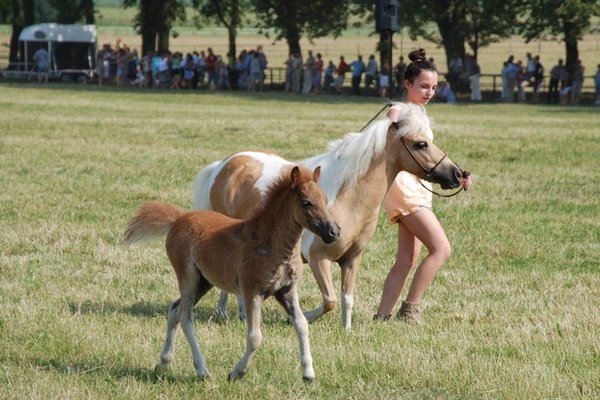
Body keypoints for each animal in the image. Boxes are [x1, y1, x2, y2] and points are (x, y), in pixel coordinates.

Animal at [124, 166, 340, 382]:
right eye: (306, 202)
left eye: (325, 199)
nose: (334, 232)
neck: (272, 244)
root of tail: (178, 218)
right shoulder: (252, 291)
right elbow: (255, 337)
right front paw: (236, 372)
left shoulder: (287, 290)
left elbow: (302, 324)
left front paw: (308, 373)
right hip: (188, 277)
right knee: (186, 317)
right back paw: (201, 369)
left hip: (204, 281)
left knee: (174, 310)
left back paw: (163, 361)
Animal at [193, 101, 464, 330]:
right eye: (421, 144)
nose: (457, 174)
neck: (347, 197)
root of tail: (223, 165)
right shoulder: (318, 259)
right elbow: (330, 301)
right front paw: (296, 318)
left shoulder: (351, 259)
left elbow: (347, 298)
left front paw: (346, 330)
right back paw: (225, 312)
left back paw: (237, 313)